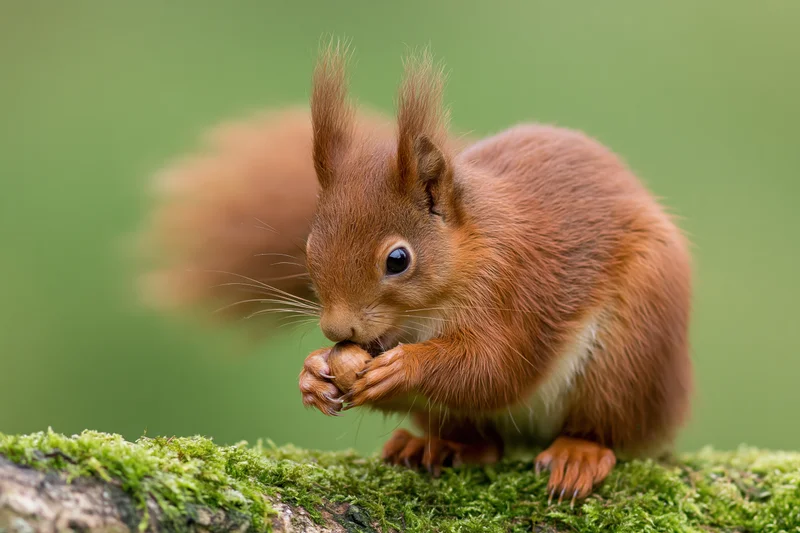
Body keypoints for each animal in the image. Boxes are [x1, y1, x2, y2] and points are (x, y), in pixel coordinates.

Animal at [136, 46, 692, 504]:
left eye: (398, 260)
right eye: (309, 248)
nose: (336, 331)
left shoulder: (517, 285)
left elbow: (495, 368)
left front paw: (405, 368)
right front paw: (313, 374)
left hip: (630, 354)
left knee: (607, 427)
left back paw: (579, 452)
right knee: (482, 445)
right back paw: (433, 445)